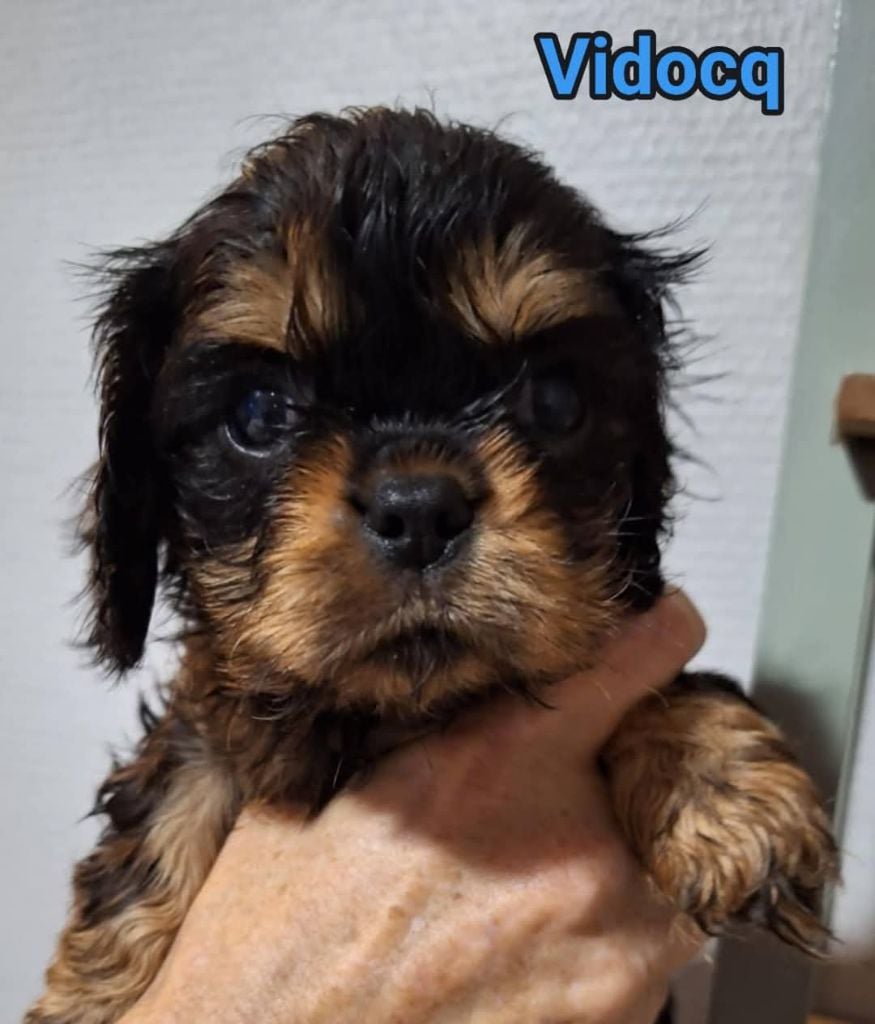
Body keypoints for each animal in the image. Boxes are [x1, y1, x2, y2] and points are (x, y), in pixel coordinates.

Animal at [27, 107, 838, 1024]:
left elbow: (663, 685)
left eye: (555, 401)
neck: (390, 719)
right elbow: (163, 808)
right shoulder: (209, 724)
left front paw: (725, 794)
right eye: (258, 413)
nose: (417, 508)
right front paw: (92, 994)